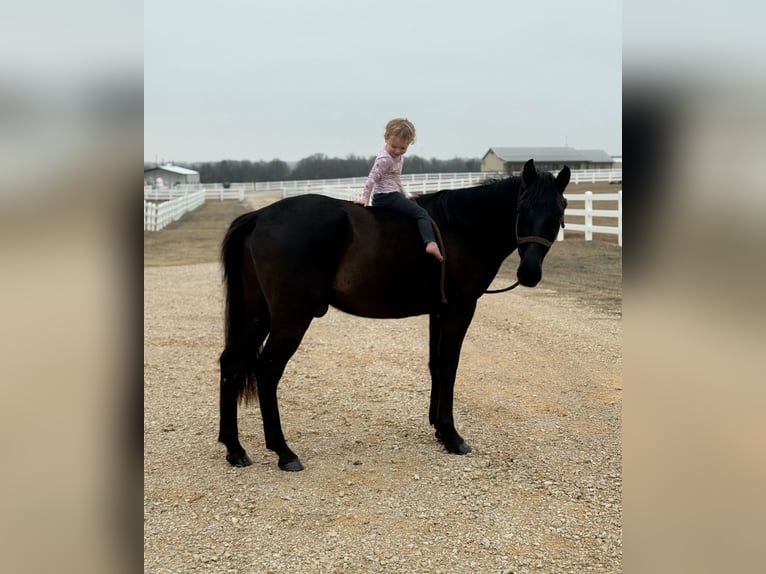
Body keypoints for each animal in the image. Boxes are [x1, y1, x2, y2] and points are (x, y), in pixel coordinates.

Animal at [218, 159, 570, 471]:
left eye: (558, 212)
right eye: (521, 210)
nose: (529, 273)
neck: (461, 229)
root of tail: (260, 216)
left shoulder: (438, 312)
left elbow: (435, 366)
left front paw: (438, 429)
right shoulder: (459, 309)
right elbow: (449, 367)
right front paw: (452, 436)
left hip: (257, 317)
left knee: (231, 364)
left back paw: (234, 448)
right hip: (290, 320)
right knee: (267, 372)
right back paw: (283, 452)